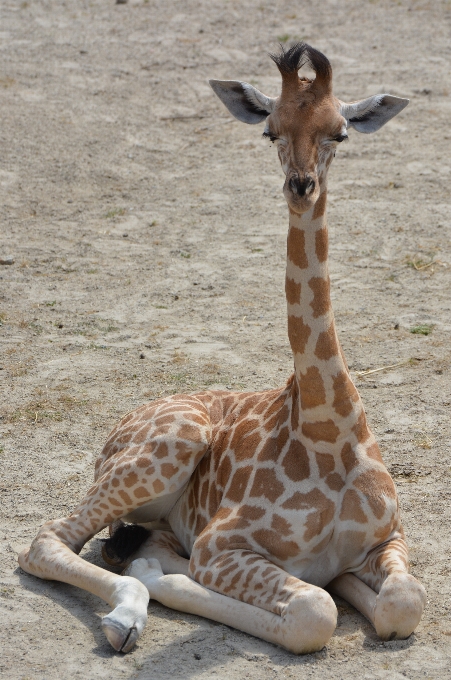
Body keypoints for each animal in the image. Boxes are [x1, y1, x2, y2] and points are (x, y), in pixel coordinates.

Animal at [17, 41, 428, 652]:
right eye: (270, 130)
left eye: (340, 132)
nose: (301, 186)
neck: (327, 426)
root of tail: (116, 430)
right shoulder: (219, 545)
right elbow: (314, 611)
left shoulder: (388, 537)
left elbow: (402, 602)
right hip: (172, 445)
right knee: (46, 540)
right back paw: (126, 613)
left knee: (130, 542)